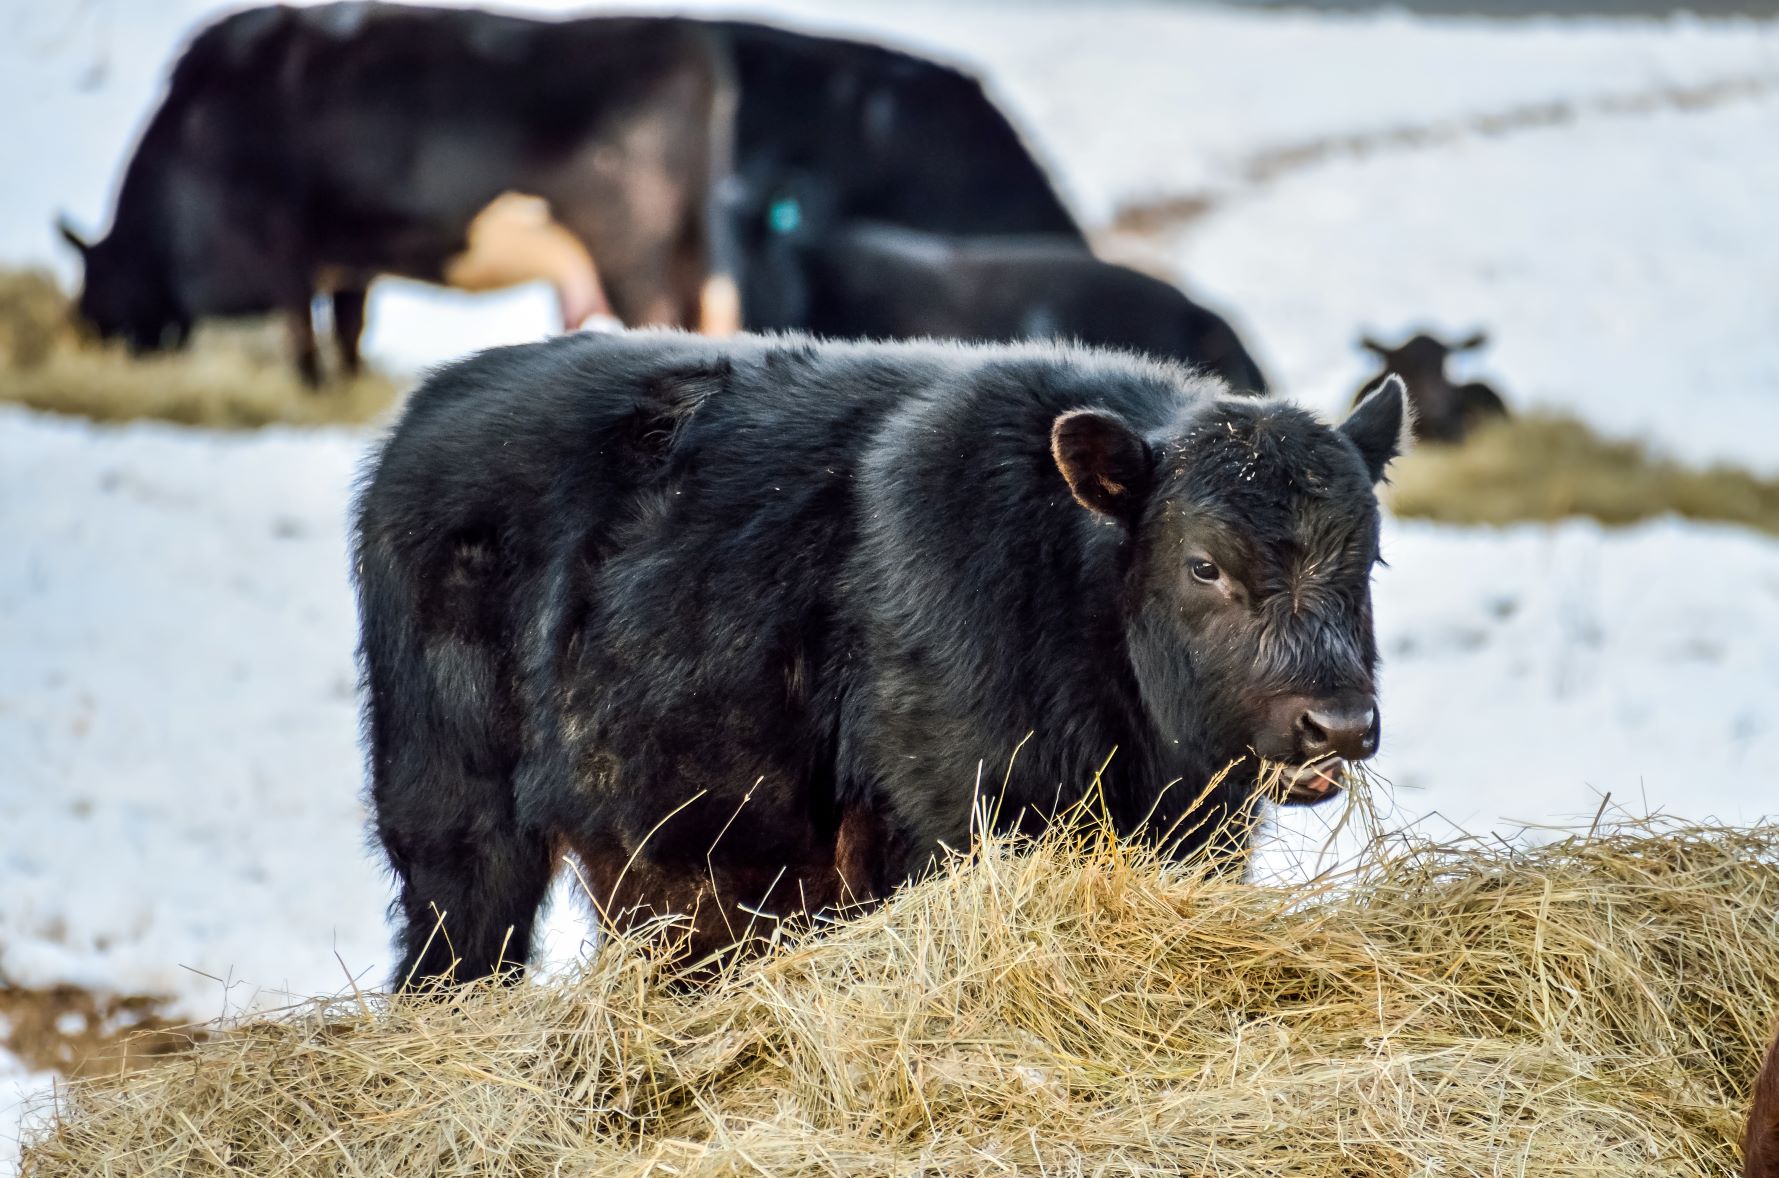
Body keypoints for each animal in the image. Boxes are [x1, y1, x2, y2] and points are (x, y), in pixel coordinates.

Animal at [350, 332, 1401, 989]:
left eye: (1367, 559)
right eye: (1203, 564)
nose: (1335, 724)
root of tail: (431, 413)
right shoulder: (947, 826)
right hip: (455, 837)